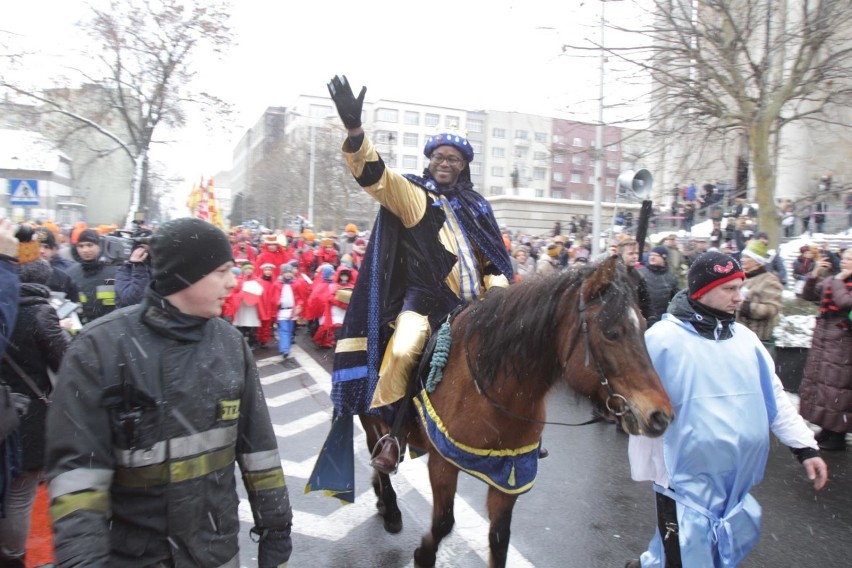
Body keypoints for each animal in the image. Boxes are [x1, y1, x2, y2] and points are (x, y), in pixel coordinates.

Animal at [358, 258, 672, 568]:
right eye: (611, 333)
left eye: (644, 324)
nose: (660, 416)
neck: (489, 389)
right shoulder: (443, 463)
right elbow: (444, 522)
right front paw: (423, 555)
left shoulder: (509, 475)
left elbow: (499, 538)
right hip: (368, 416)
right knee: (374, 446)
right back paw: (390, 505)